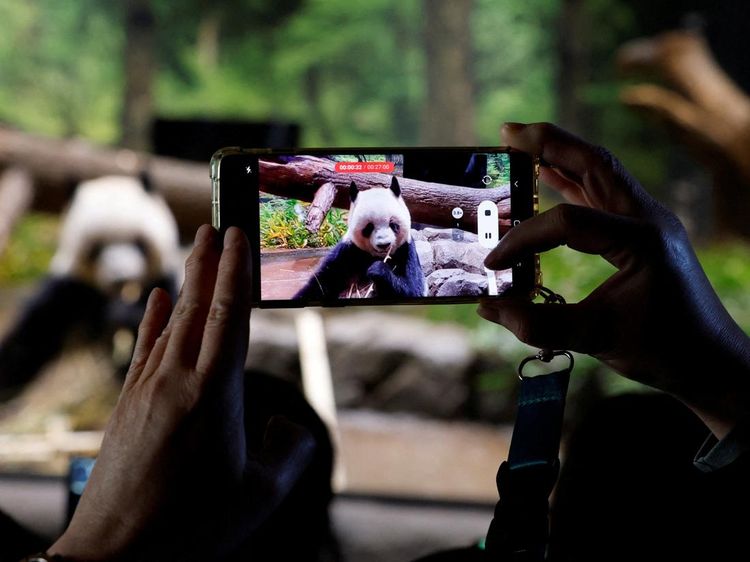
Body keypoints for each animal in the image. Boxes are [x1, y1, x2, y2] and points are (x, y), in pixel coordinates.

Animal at [0, 174, 181, 396]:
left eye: (139, 243)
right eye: (97, 248)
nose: (121, 278)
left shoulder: (163, 281)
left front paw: (124, 316)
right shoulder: (71, 289)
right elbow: (32, 334)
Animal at [294, 176, 425, 301]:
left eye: (393, 224)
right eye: (369, 227)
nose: (384, 245)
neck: (374, 257)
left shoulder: (406, 250)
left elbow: (413, 288)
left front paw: (378, 270)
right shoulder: (347, 252)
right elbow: (321, 284)